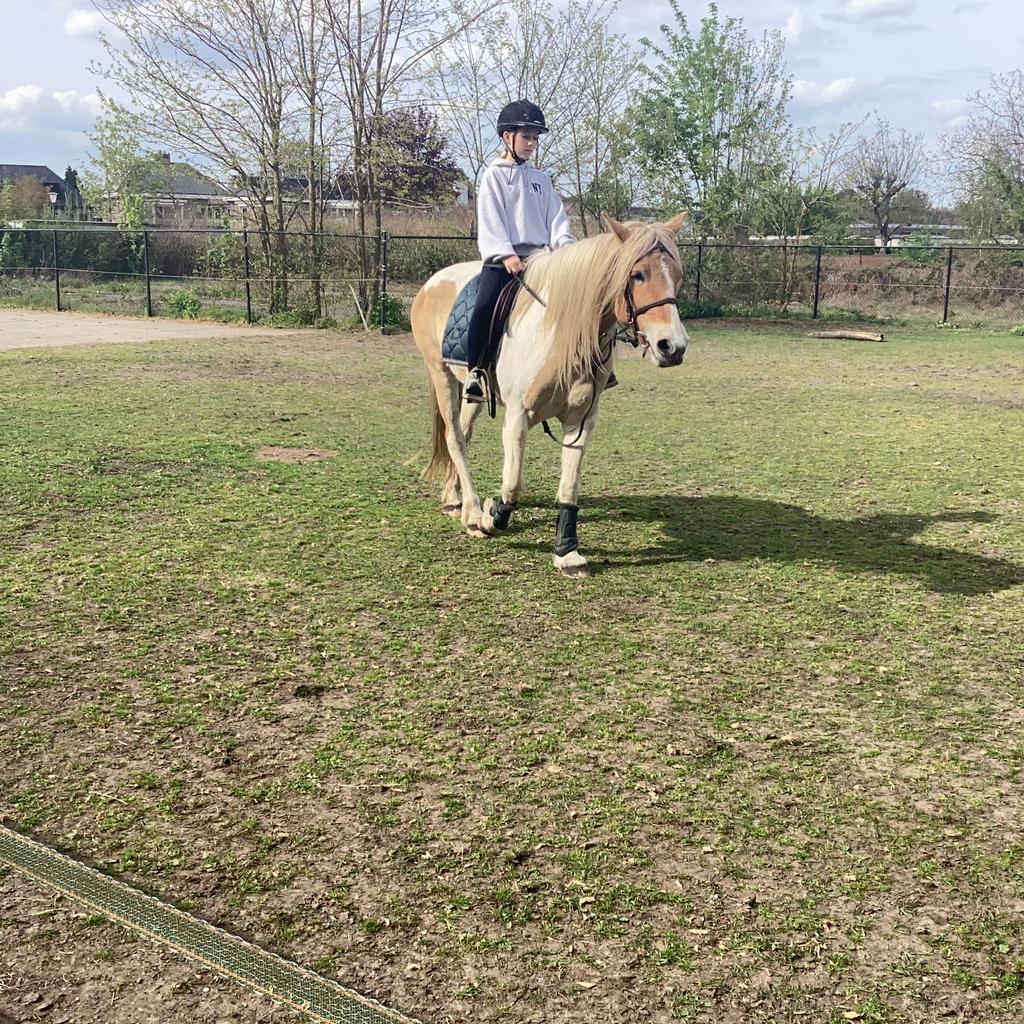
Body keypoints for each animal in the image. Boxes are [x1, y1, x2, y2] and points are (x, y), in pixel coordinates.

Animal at [410, 213, 690, 577]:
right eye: (637, 274)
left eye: (677, 276)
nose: (673, 347)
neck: (561, 332)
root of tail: (433, 283)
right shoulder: (517, 417)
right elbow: (512, 482)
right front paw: (490, 518)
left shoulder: (581, 421)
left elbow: (569, 487)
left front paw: (567, 553)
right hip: (441, 375)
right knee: (454, 439)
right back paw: (471, 511)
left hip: (473, 392)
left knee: (463, 433)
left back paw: (453, 497)